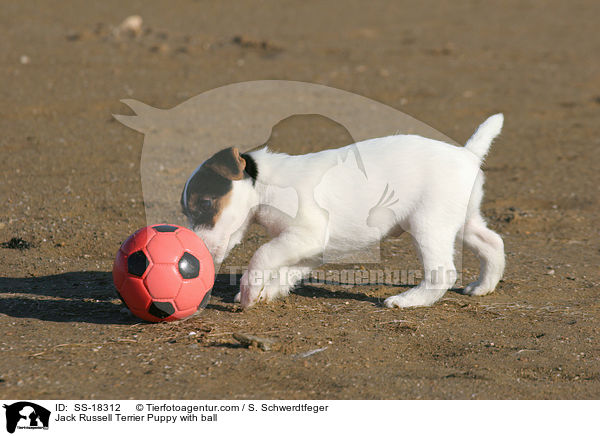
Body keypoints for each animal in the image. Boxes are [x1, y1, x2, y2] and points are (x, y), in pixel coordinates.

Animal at [180, 114, 504, 308]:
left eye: (205, 204)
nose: (197, 250)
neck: (266, 184)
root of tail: (467, 153)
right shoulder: (309, 247)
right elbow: (285, 271)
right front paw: (267, 292)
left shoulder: (306, 234)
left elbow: (262, 255)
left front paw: (249, 292)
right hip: (464, 221)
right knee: (493, 243)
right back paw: (483, 286)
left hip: (429, 225)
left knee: (443, 272)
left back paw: (408, 300)